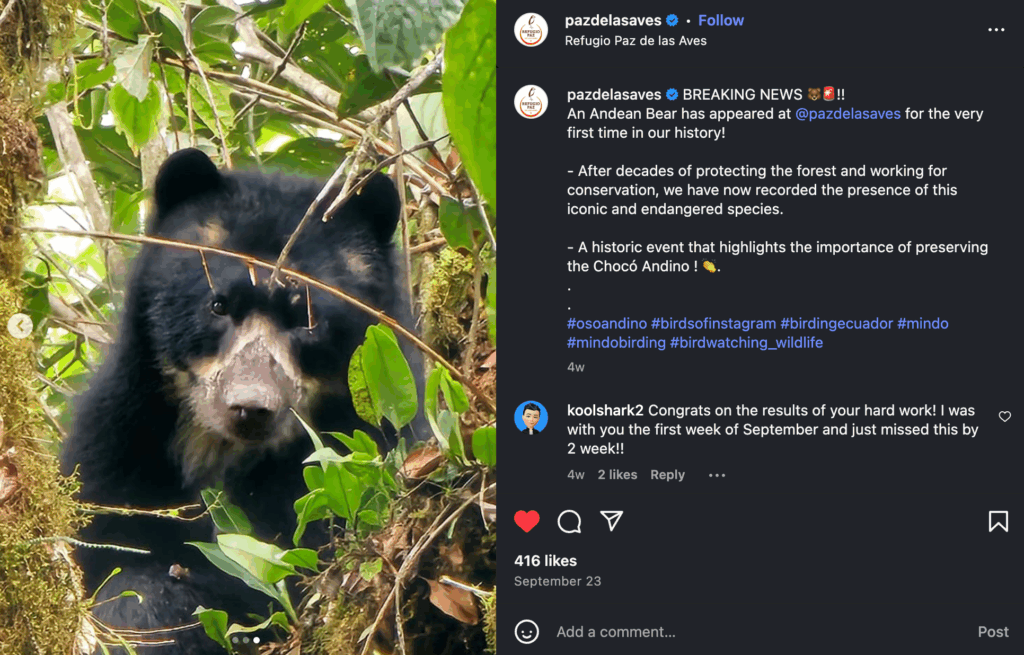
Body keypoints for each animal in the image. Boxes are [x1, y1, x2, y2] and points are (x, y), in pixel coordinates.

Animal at [60, 149, 422, 653]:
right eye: (218, 305)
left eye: (307, 318)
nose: (250, 408)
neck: (219, 453)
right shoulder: (118, 440)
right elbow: (104, 538)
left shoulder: (356, 456)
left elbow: (280, 577)